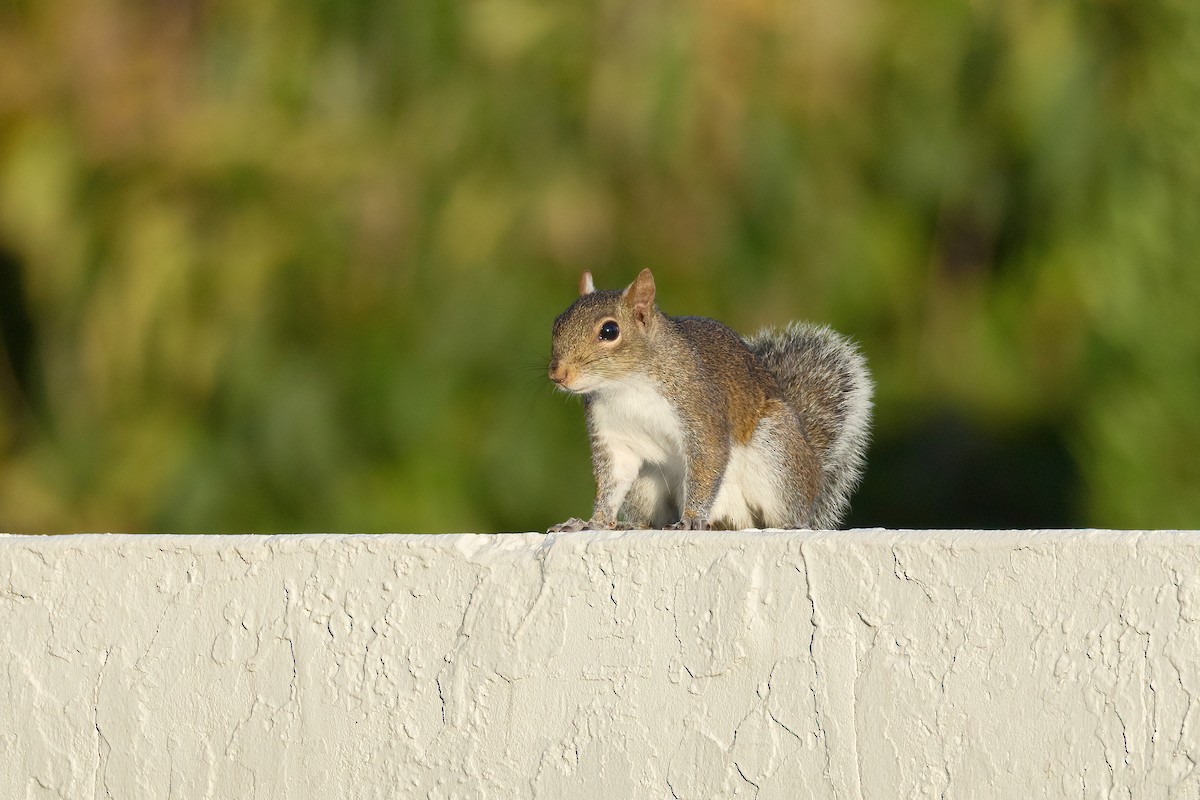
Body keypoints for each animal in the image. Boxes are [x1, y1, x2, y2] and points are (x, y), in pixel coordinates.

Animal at [547, 268, 873, 532]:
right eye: (557, 323)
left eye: (609, 330)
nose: (558, 374)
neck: (626, 386)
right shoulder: (615, 438)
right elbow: (612, 481)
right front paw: (594, 522)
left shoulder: (700, 411)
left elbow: (708, 460)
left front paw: (692, 518)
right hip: (646, 484)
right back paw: (635, 525)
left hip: (777, 451)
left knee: (780, 513)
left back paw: (790, 524)